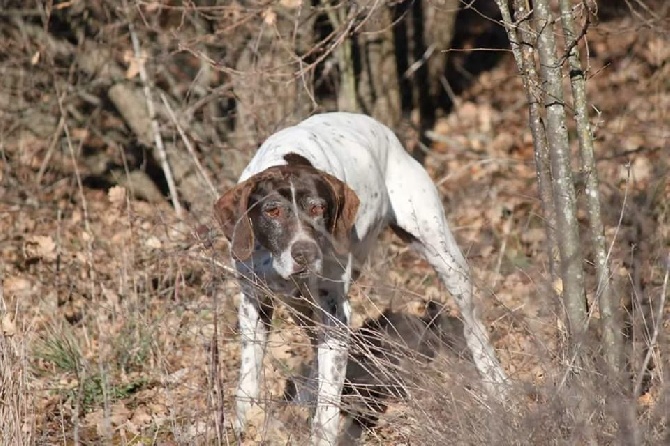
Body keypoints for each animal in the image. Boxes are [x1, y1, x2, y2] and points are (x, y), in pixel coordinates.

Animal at [215, 110, 510, 442]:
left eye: (318, 208)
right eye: (272, 211)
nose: (305, 253)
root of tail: (382, 129)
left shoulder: (334, 310)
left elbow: (327, 404)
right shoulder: (254, 302)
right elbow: (248, 382)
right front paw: (243, 427)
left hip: (444, 257)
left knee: (473, 325)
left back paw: (495, 381)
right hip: (305, 306)